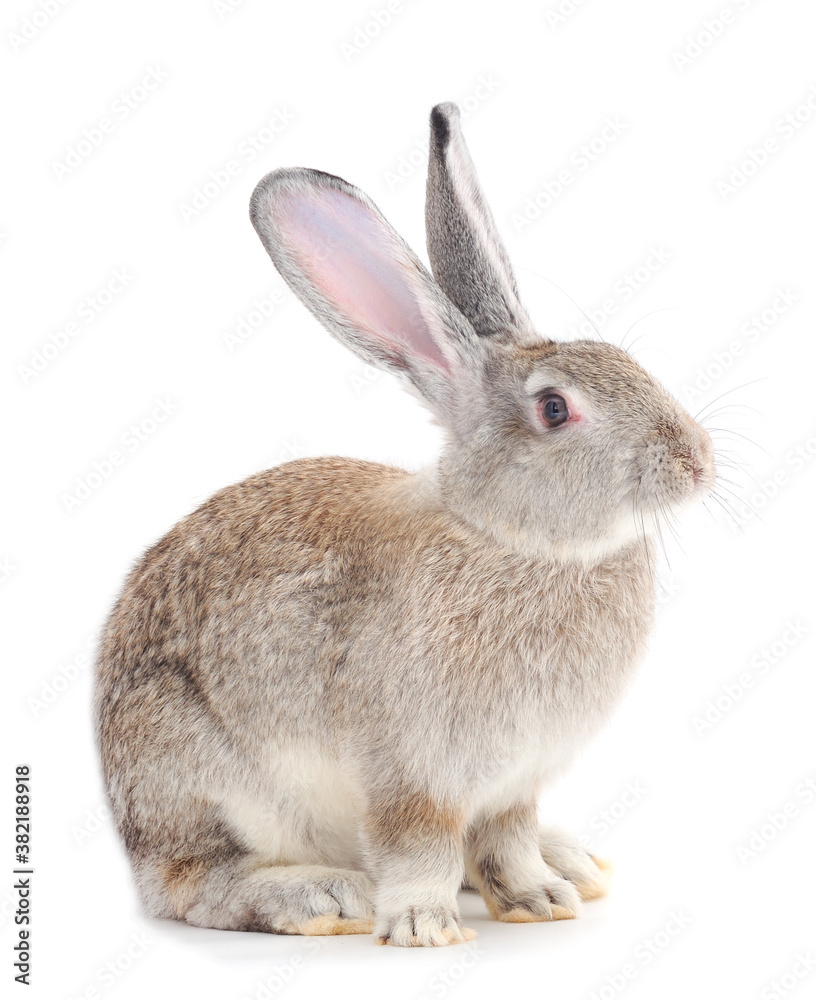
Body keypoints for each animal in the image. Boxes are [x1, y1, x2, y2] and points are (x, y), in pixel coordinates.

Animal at [94, 102, 715, 948]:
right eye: (555, 409)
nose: (696, 461)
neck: (508, 538)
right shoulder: (412, 770)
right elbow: (419, 843)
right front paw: (424, 926)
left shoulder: (513, 785)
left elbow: (507, 839)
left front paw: (538, 899)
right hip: (199, 777)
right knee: (190, 883)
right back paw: (321, 897)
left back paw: (571, 863)